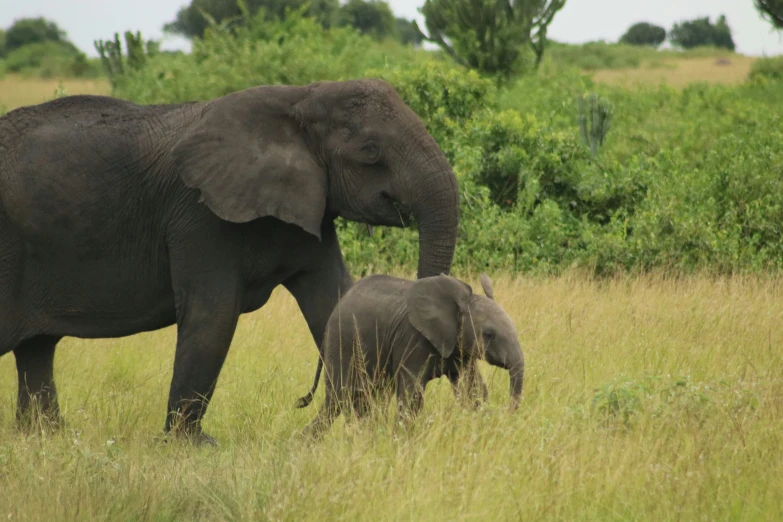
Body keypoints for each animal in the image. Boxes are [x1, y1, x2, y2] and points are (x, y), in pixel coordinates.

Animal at [0, 78, 460, 442]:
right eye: (370, 151)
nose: (301, 402)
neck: (300, 99)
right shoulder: (198, 214)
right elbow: (213, 318)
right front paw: (191, 446)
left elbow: (336, 303)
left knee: (37, 349)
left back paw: (48, 439)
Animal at [300, 270, 528, 436]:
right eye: (489, 334)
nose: (503, 414)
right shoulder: (413, 339)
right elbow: (412, 395)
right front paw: (403, 439)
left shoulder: (460, 347)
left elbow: (474, 390)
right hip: (343, 341)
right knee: (339, 398)